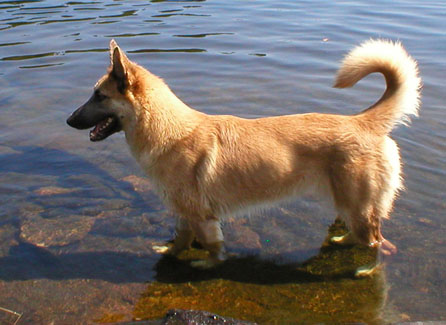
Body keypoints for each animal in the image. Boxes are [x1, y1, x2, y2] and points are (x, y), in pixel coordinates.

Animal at [67, 38, 422, 276]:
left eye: (99, 96)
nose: (69, 120)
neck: (169, 131)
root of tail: (362, 120)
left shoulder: (201, 216)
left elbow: (210, 245)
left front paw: (208, 263)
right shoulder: (184, 212)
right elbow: (180, 239)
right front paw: (170, 251)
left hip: (357, 206)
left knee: (377, 242)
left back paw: (365, 270)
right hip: (350, 205)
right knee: (365, 233)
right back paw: (342, 239)